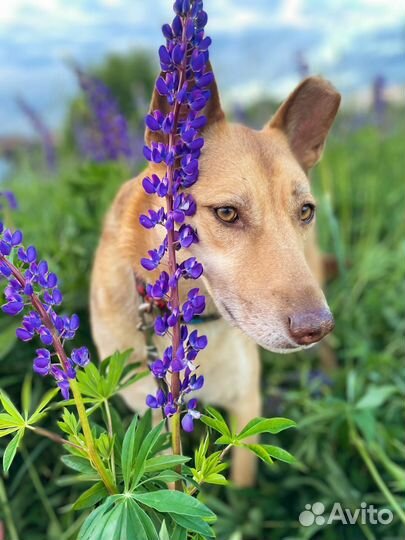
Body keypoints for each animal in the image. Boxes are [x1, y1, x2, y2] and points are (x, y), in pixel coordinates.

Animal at [90, 69, 340, 488]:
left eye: (305, 211)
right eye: (226, 212)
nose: (315, 328)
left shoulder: (246, 408)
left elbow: (240, 483)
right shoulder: (155, 423)